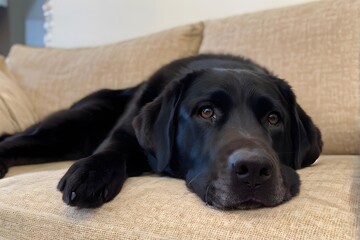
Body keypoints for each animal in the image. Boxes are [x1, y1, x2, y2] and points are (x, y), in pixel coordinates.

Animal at [0, 54, 322, 210]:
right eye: (206, 112)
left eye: (274, 118)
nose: (253, 169)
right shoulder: (124, 133)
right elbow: (111, 149)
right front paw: (91, 173)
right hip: (70, 126)